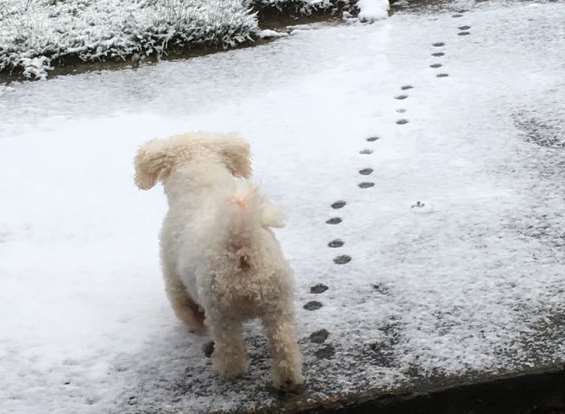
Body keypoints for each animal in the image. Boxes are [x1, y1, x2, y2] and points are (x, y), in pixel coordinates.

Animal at [134, 133, 304, 392]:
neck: (201, 184)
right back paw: (287, 379)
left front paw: (193, 326)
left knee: (230, 347)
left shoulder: (173, 277)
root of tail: (239, 241)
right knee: (284, 345)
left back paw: (227, 371)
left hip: (221, 310)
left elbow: (184, 306)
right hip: (278, 303)